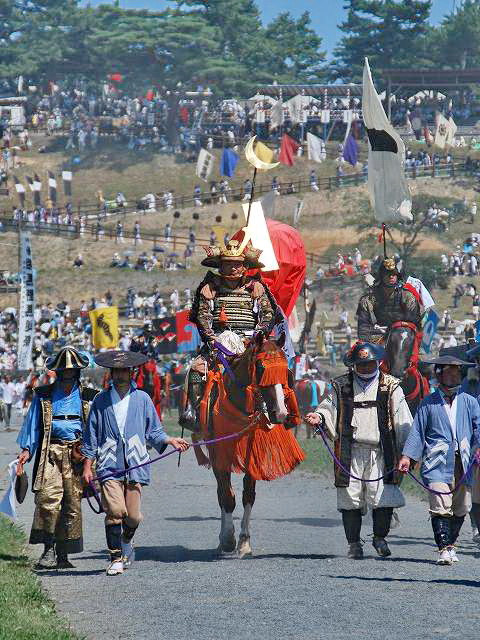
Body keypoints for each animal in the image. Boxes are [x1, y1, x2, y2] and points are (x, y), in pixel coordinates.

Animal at [197, 332, 305, 557]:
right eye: (262, 368)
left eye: (286, 371)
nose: (281, 413)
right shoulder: (219, 454)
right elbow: (227, 497)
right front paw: (228, 539)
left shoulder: (253, 453)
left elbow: (248, 495)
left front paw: (244, 542)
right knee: (221, 493)